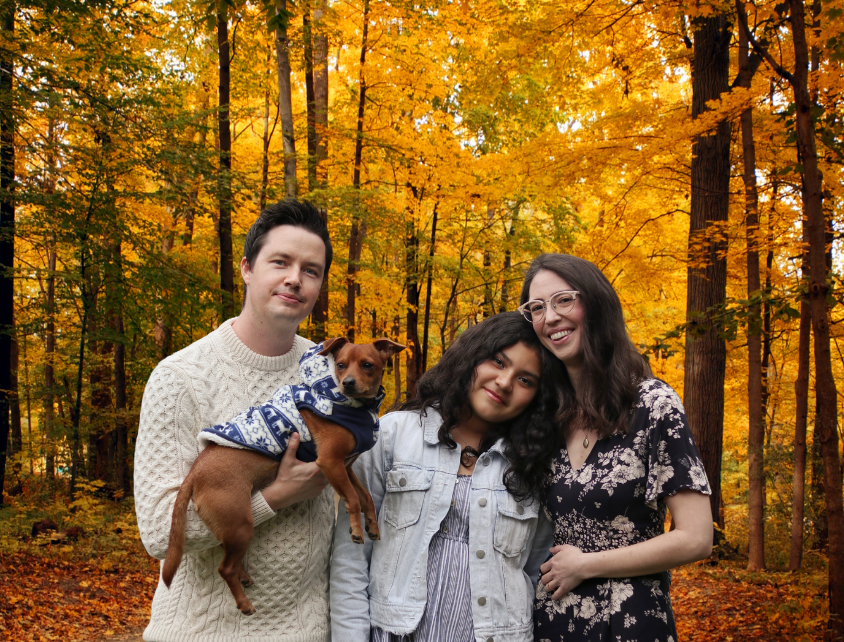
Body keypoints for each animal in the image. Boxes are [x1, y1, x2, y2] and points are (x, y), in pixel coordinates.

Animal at [161, 337, 405, 615]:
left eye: (368, 365)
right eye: (340, 365)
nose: (348, 383)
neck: (356, 408)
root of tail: (194, 473)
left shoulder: (346, 467)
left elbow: (365, 497)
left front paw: (372, 525)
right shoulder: (330, 463)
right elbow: (353, 499)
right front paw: (356, 529)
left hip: (231, 527)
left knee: (227, 556)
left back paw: (243, 576)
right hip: (241, 525)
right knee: (225, 568)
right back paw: (244, 603)